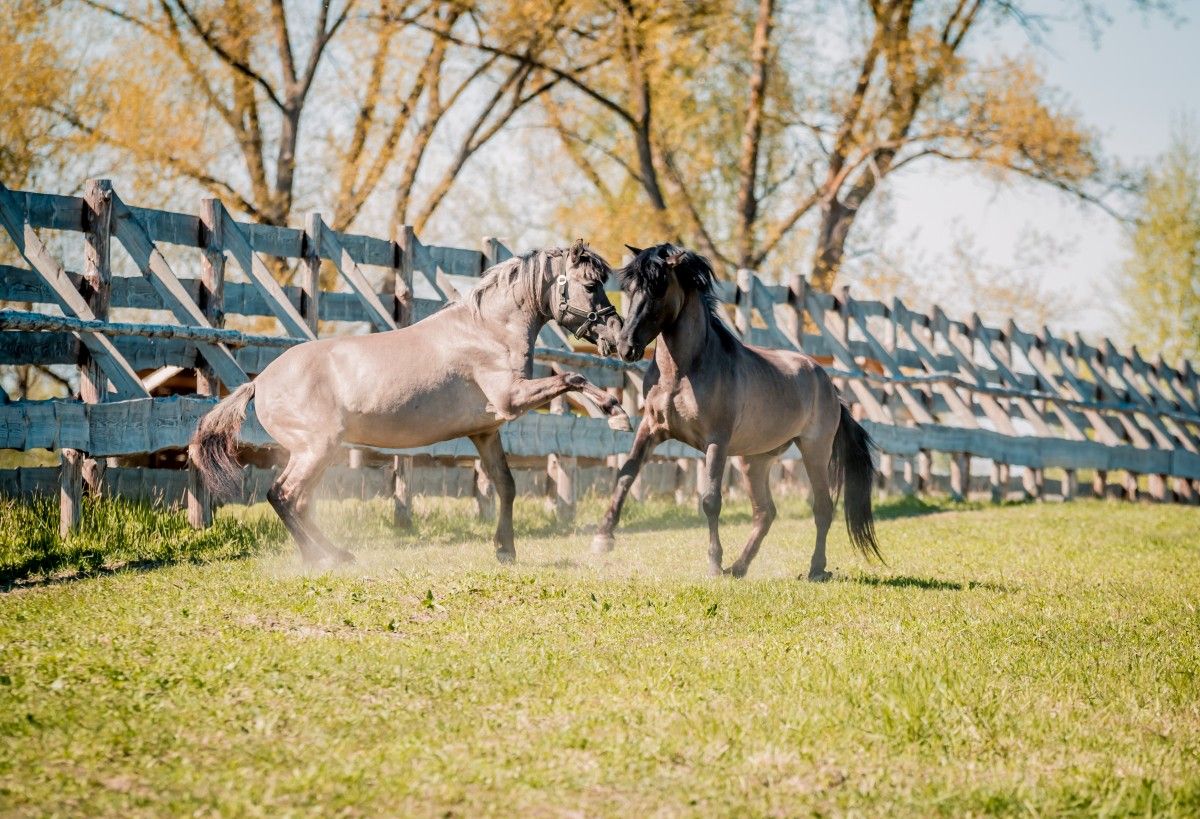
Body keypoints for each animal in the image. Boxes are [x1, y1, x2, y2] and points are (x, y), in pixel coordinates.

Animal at [189, 238, 628, 564]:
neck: (487, 330)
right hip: (316, 448)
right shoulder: (511, 398)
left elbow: (506, 485)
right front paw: (616, 414)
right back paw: (324, 558)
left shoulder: (486, 432)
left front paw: (505, 550)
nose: (618, 338)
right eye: (591, 286)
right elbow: (572, 377)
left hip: (315, 452)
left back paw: (336, 555)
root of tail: (260, 383)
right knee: (283, 496)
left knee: (296, 501)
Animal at [590, 242, 883, 581]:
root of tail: (828, 384)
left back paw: (815, 569)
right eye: (629, 288)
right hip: (754, 460)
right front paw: (602, 539)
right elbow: (626, 475)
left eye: (659, 288)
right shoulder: (651, 428)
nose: (626, 348)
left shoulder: (716, 442)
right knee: (765, 512)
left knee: (822, 507)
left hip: (814, 450)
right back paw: (739, 567)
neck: (682, 372)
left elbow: (711, 501)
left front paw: (714, 564)